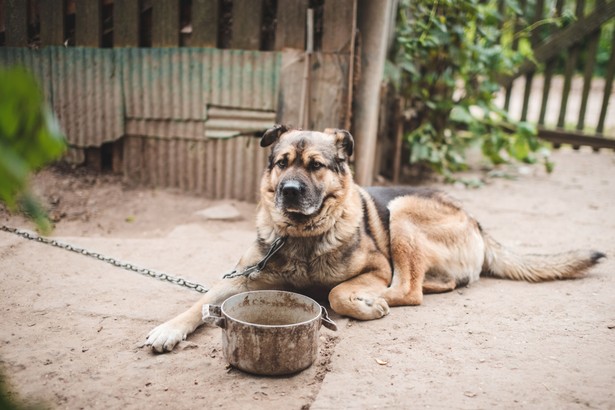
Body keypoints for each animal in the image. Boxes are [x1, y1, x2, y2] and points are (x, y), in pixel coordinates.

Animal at [146, 124, 608, 352]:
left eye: (316, 166)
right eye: (281, 162)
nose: (289, 191)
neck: (301, 237)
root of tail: (475, 221)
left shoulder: (375, 266)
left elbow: (337, 293)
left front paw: (358, 301)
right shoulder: (242, 277)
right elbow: (199, 303)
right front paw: (168, 329)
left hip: (401, 211)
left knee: (408, 289)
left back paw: (375, 299)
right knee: (433, 283)